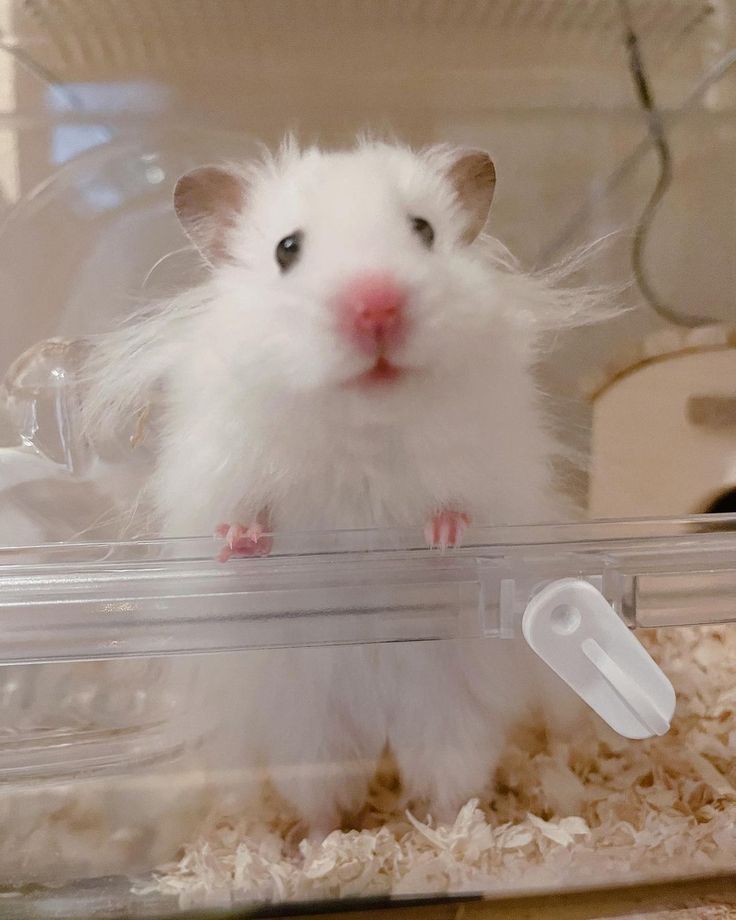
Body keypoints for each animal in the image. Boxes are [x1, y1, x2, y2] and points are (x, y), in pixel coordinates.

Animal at [82, 139, 598, 835]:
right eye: (286, 249)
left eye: (423, 230)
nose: (376, 305)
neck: (362, 424)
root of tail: (377, 728)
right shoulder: (226, 462)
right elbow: (247, 516)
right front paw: (237, 542)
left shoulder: (495, 467)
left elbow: (466, 509)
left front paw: (442, 538)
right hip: (307, 732)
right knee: (325, 796)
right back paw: (320, 844)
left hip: (449, 715)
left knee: (445, 780)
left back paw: (447, 831)